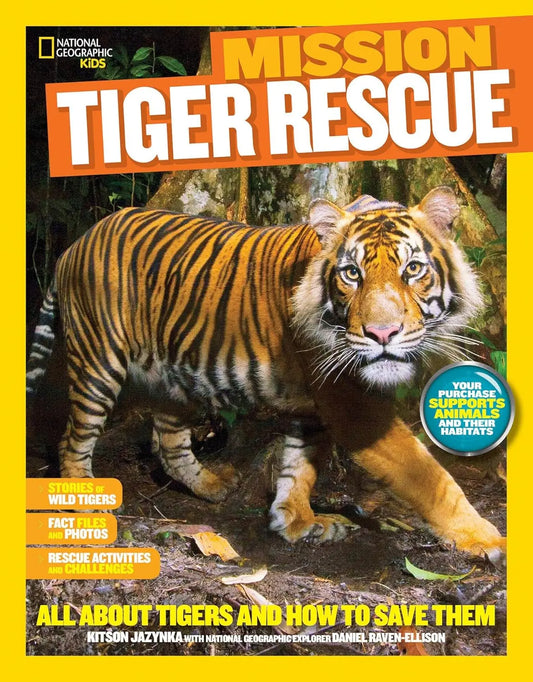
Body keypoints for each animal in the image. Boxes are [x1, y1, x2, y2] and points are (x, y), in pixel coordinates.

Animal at [26, 186, 505, 562]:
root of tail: (74, 245)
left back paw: (214, 485)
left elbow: (299, 467)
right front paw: (487, 539)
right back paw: (86, 503)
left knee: (169, 443)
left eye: (413, 269)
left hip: (174, 379)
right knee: (73, 440)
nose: (382, 333)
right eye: (352, 274)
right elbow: (432, 479)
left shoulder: (316, 406)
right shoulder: (353, 406)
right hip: (98, 362)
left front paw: (296, 521)